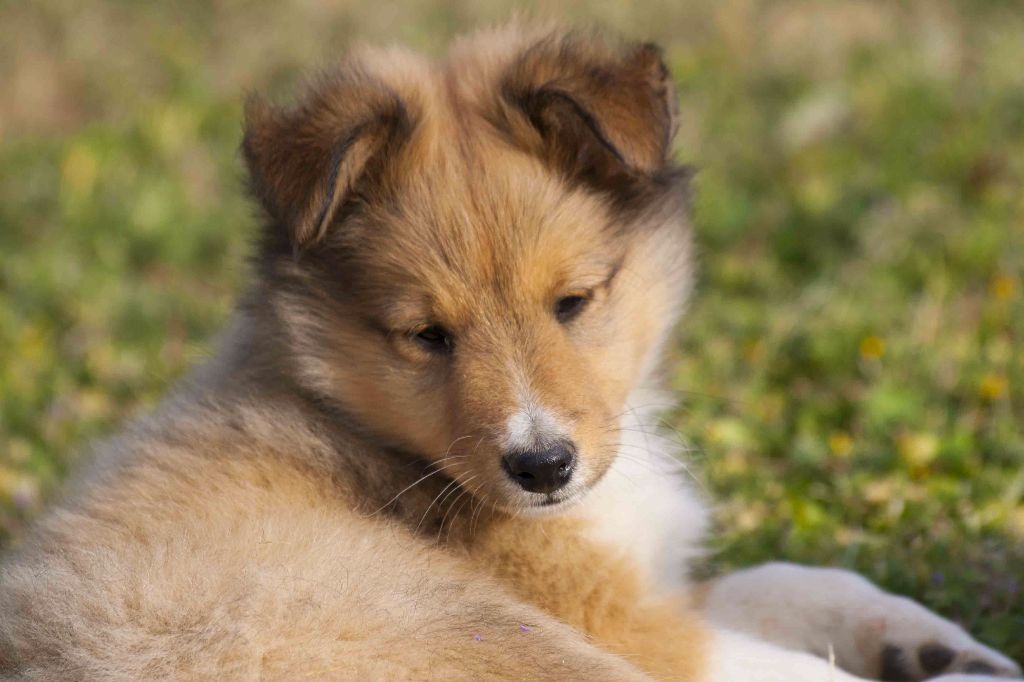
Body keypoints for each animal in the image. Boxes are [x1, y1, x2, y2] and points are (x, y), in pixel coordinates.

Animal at [2, 21, 1024, 679]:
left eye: (574, 301)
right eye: (426, 336)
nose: (541, 468)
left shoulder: (635, 586)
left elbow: (787, 577)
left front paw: (935, 645)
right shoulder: (606, 620)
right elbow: (775, 658)